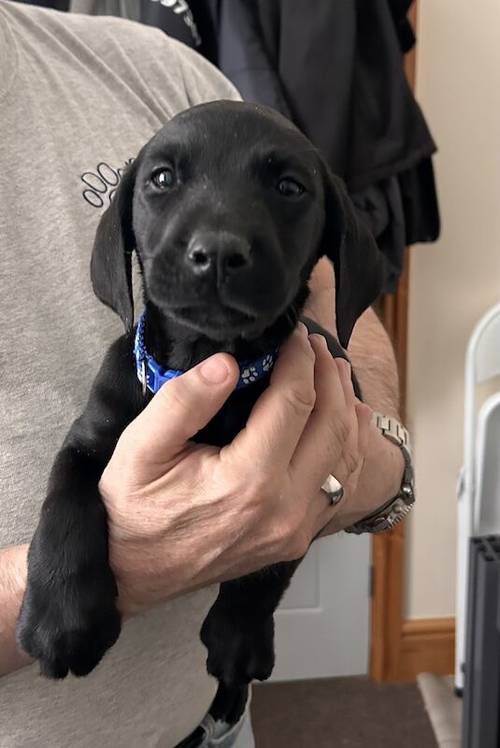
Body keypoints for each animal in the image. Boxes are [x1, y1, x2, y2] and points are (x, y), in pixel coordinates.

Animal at [16, 101, 386, 724]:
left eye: (290, 187)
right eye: (162, 178)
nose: (216, 252)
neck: (205, 358)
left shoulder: (302, 486)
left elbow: (267, 568)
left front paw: (237, 640)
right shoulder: (90, 437)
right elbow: (66, 495)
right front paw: (62, 616)